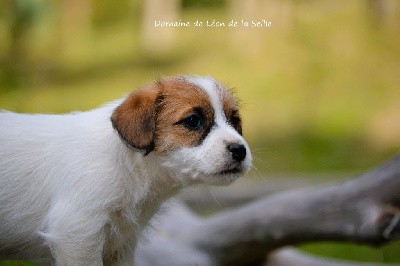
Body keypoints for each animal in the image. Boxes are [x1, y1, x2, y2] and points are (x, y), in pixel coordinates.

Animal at [0, 76, 252, 264]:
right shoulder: (77, 233)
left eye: (235, 120)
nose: (240, 150)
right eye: (192, 120)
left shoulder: (121, 245)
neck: (130, 165)